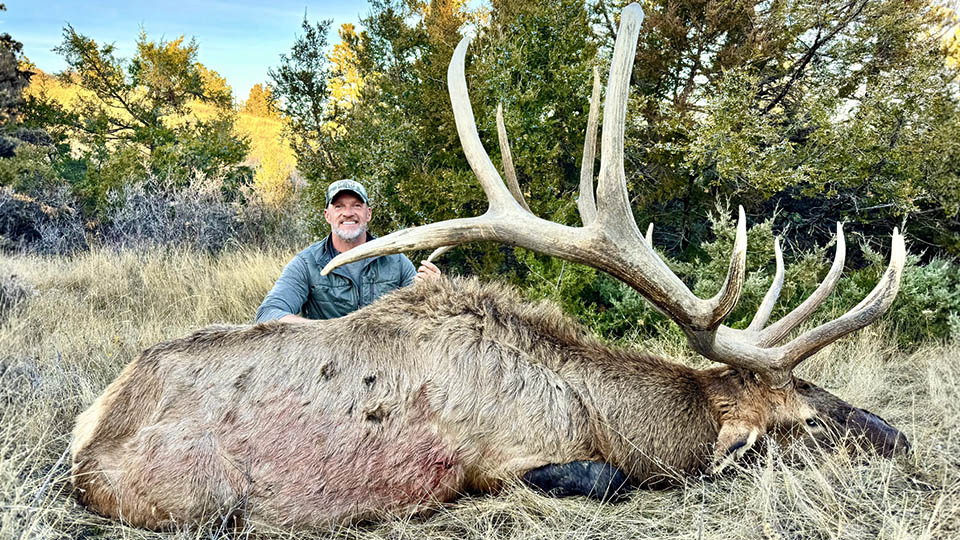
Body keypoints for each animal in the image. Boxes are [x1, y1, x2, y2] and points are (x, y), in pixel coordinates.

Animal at [70, 3, 908, 531]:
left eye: (819, 389)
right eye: (804, 417)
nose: (899, 437)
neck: (594, 410)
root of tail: (87, 436)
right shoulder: (498, 458)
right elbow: (602, 478)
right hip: (194, 494)